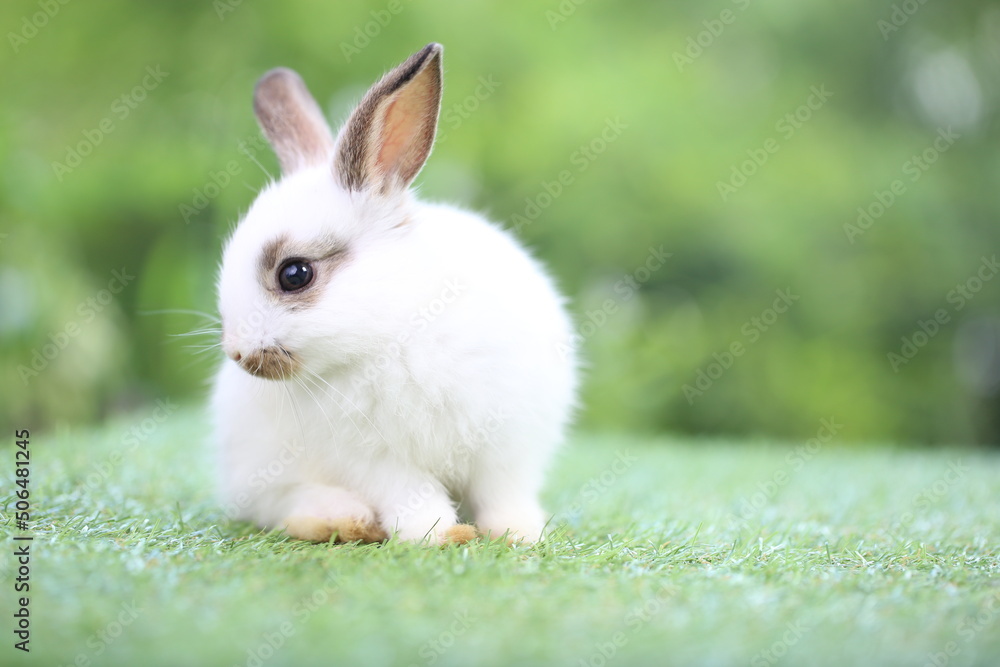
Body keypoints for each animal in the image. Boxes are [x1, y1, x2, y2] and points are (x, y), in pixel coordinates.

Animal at [211, 43, 578, 545]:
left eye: (295, 274)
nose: (237, 353)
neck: (398, 329)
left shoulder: (506, 444)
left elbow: (502, 493)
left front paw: (518, 534)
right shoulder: (375, 460)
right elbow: (413, 496)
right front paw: (443, 536)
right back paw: (343, 520)